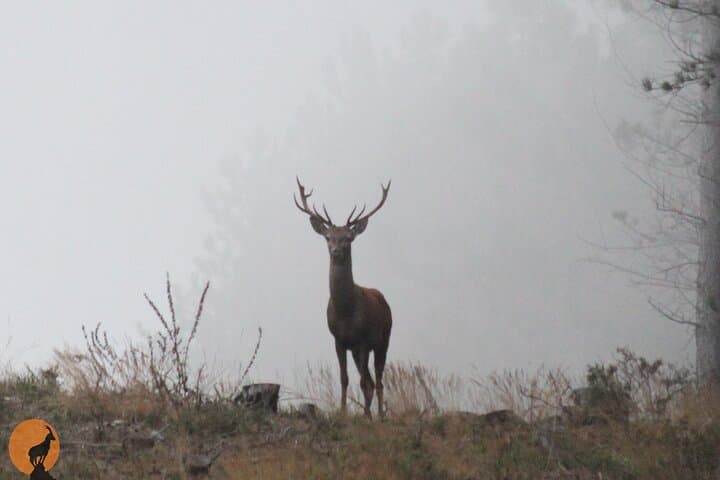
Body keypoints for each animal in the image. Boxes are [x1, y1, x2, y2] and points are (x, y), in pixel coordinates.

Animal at [294, 176, 392, 419]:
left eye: (349, 238)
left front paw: (366, 415)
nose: (336, 251)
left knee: (378, 379)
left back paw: (379, 414)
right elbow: (344, 378)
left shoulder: (364, 339)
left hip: (384, 338)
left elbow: (364, 382)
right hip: (358, 350)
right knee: (370, 379)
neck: (346, 312)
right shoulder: (338, 340)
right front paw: (343, 410)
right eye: (328, 237)